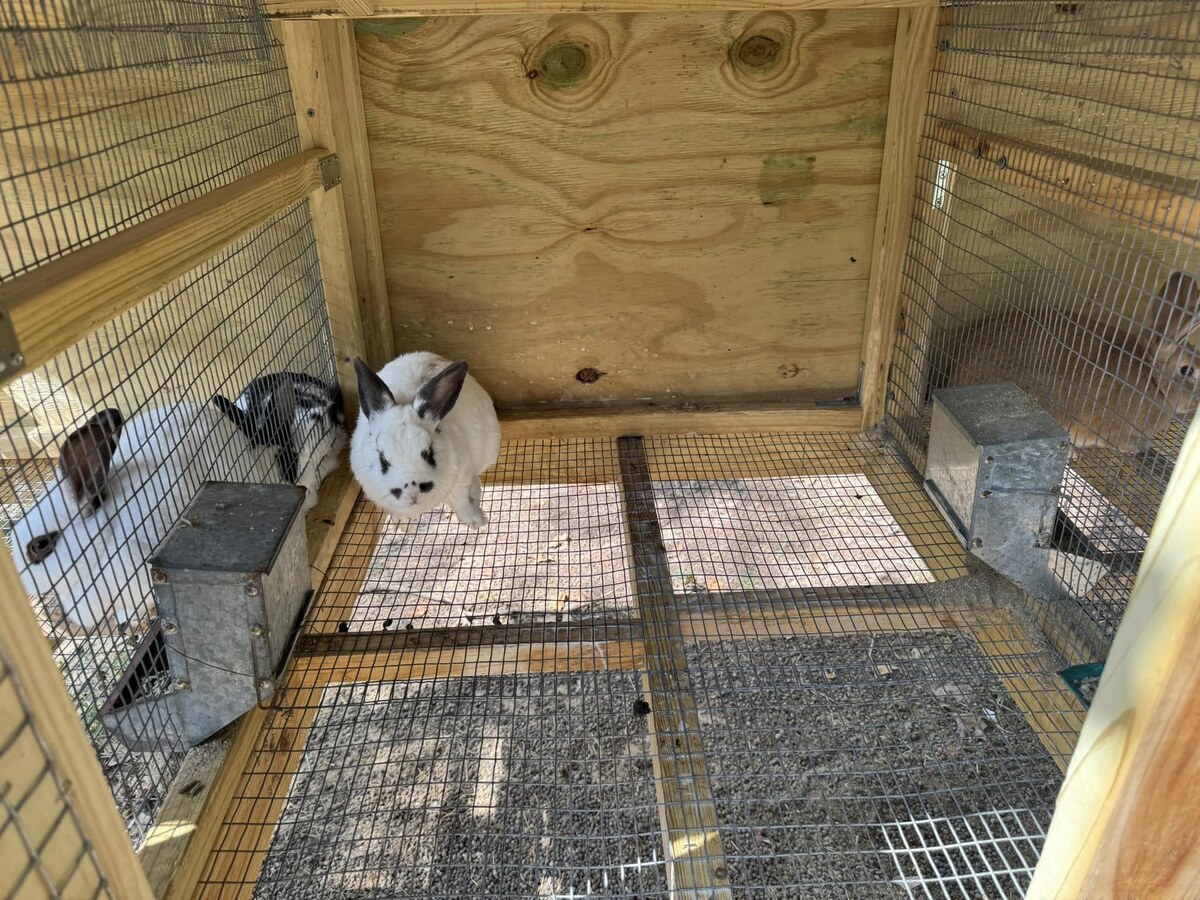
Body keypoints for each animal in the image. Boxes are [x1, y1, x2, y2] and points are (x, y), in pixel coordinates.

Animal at [349, 352, 500, 528]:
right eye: (383, 460)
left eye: (429, 454)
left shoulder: (460, 481)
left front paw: (477, 522)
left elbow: (461, 503)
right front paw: (401, 525)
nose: (412, 492)